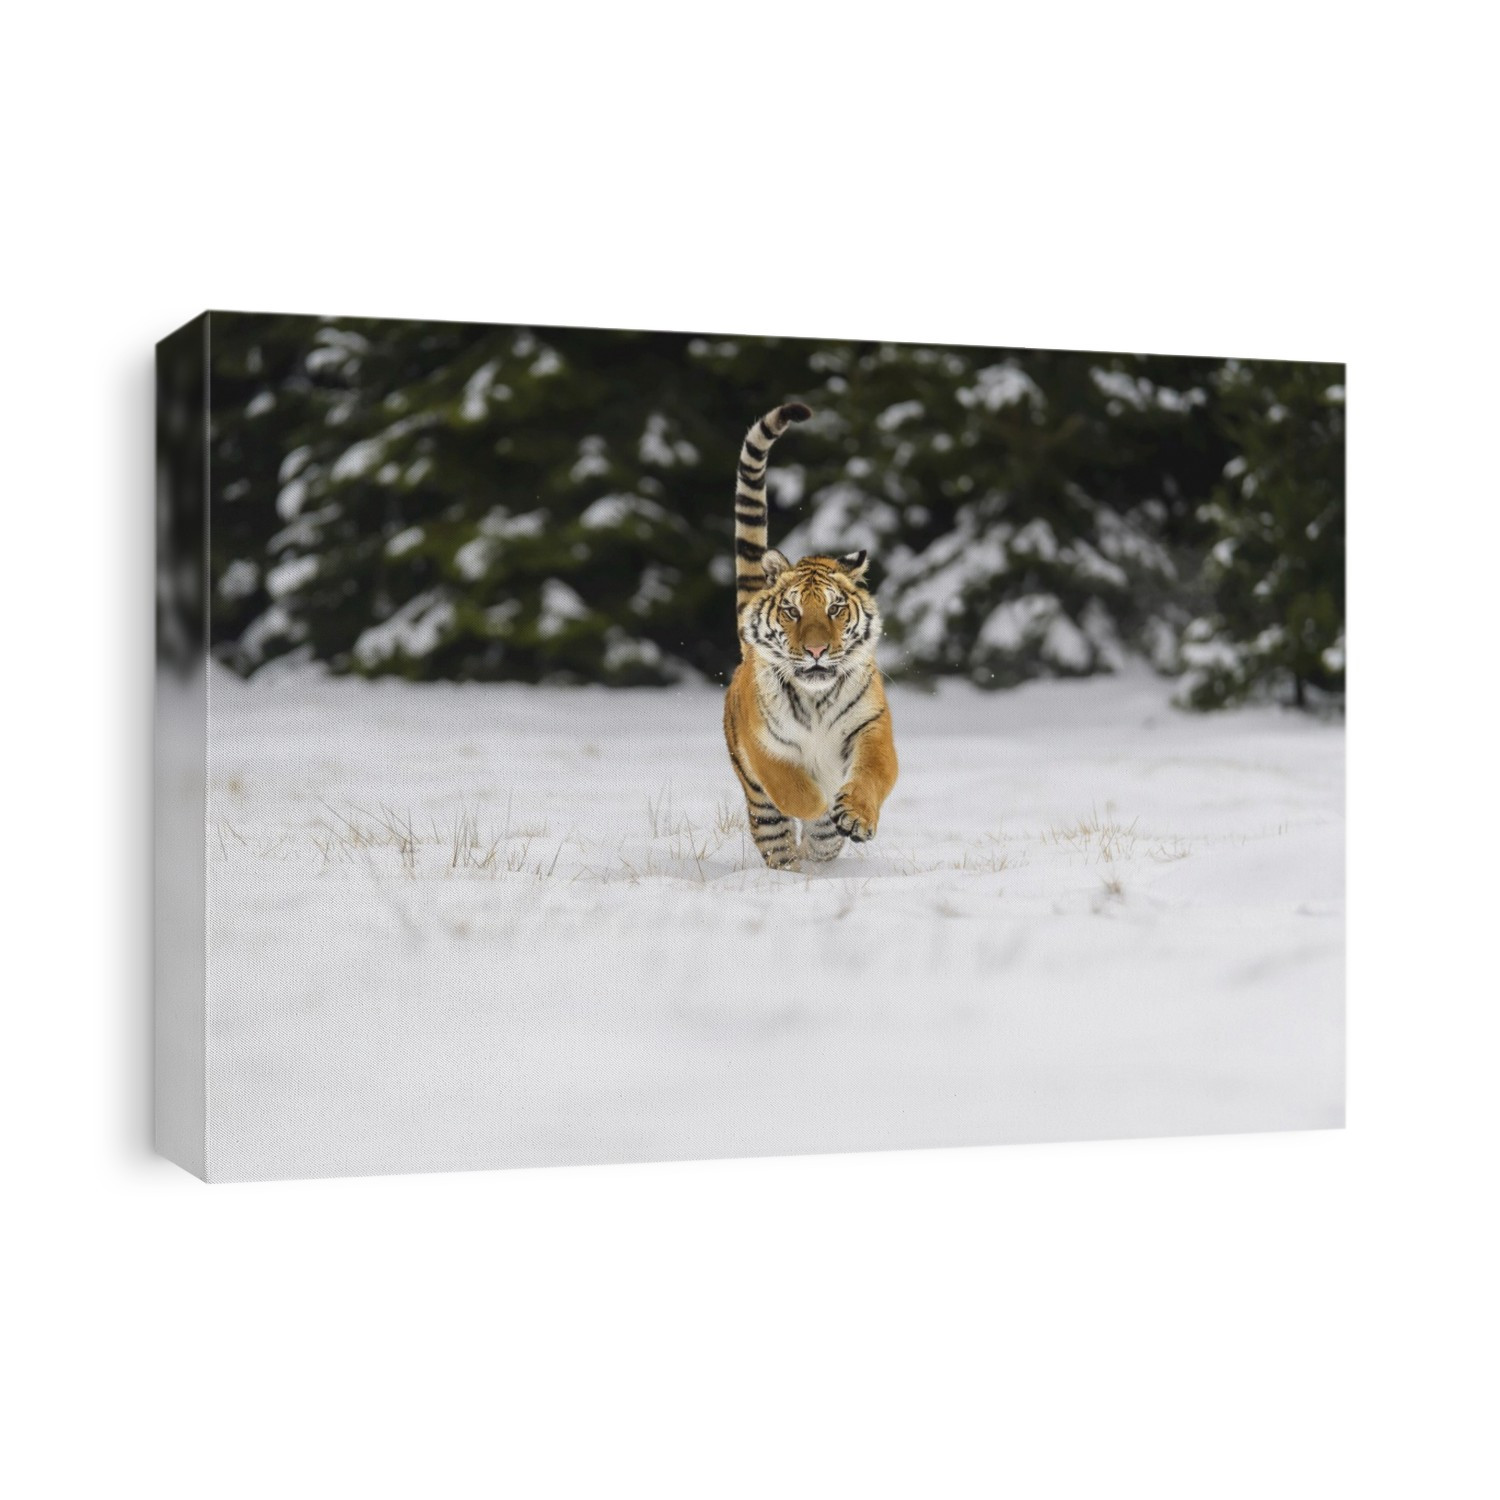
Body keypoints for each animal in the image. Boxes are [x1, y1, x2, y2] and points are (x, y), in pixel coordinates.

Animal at [722, 401, 898, 870]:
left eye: (835, 609)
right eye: (792, 611)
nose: (817, 650)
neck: (817, 699)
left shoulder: (870, 727)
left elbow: (872, 773)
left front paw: (854, 815)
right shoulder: (763, 744)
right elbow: (792, 787)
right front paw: (819, 802)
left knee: (819, 844)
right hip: (760, 806)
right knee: (779, 840)